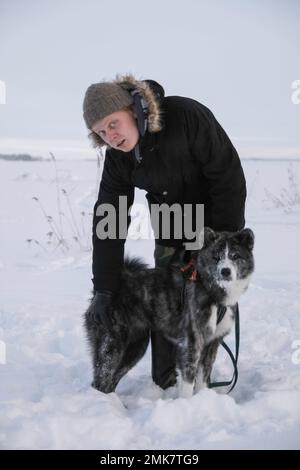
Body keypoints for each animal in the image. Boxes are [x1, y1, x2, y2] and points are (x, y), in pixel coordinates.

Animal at [83, 227, 254, 396]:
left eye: (235, 256)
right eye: (216, 257)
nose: (225, 271)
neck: (210, 289)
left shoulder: (212, 343)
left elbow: (203, 379)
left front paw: (203, 398)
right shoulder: (191, 342)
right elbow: (188, 382)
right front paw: (187, 401)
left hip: (135, 346)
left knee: (111, 380)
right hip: (112, 344)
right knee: (102, 379)